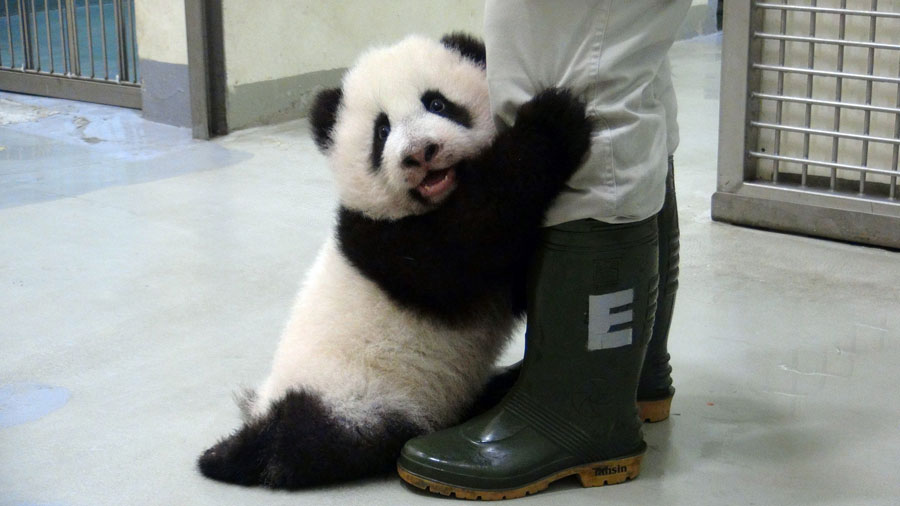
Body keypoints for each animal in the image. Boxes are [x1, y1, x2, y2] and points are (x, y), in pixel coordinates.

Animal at [197, 32, 592, 490]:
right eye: (381, 131)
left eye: (437, 103)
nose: (421, 152)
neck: (434, 201)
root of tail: (264, 409)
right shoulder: (384, 239)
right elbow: (464, 247)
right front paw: (553, 121)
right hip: (352, 398)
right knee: (310, 443)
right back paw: (231, 455)